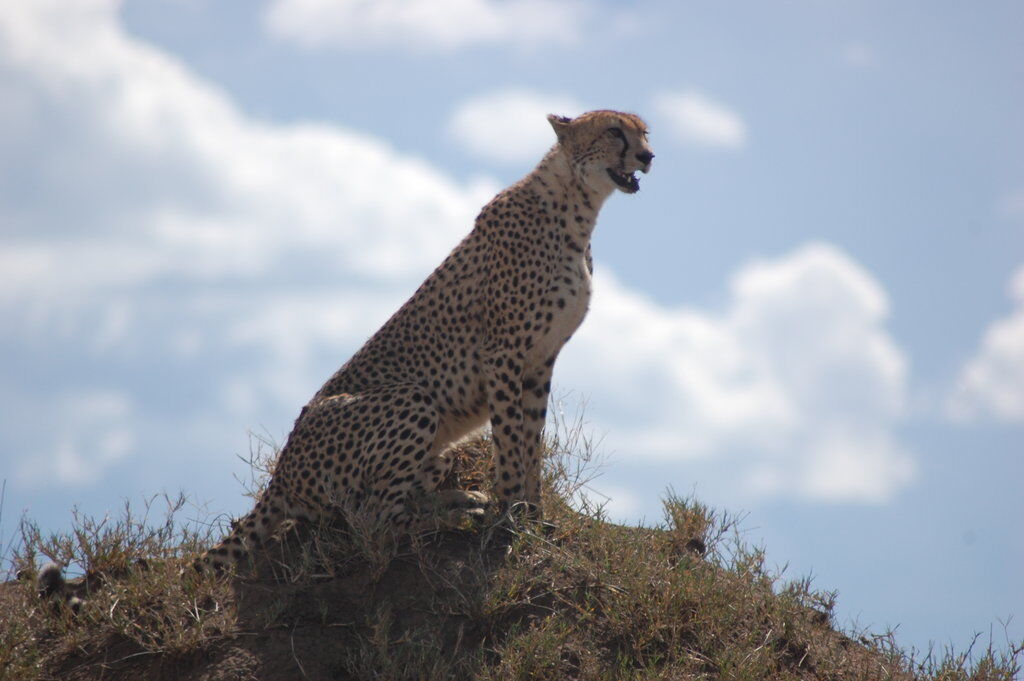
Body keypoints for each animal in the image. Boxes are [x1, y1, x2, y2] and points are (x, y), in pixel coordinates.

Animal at [199, 109, 653, 572]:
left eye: (644, 132)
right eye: (614, 131)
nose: (648, 156)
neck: (576, 208)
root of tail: (279, 477)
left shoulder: (540, 360)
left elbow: (532, 443)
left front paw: (534, 514)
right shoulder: (503, 353)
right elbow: (511, 442)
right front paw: (511, 518)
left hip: (437, 451)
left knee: (386, 506)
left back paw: (460, 500)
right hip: (412, 399)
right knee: (373, 523)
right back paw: (452, 517)